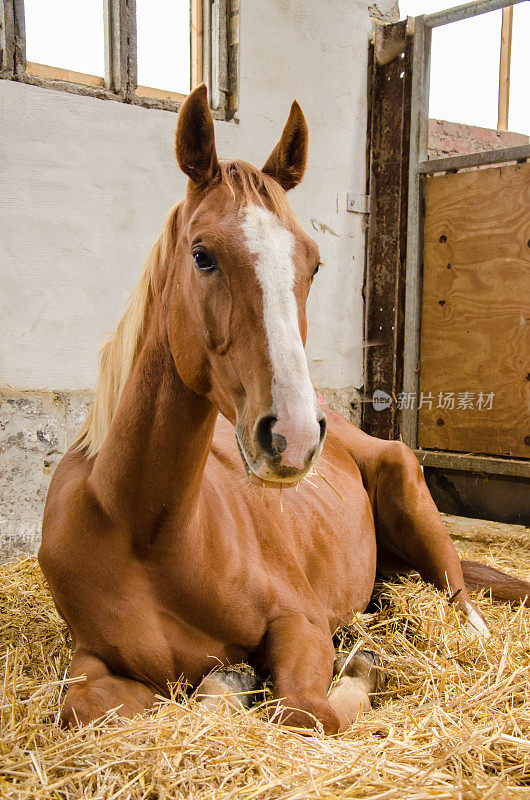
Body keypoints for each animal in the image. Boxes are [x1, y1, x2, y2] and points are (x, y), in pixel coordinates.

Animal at [40, 86, 528, 732]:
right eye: (202, 256)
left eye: (315, 264)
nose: (294, 435)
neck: (140, 530)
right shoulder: (91, 659)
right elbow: (86, 707)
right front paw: (230, 682)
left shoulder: (300, 620)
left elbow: (307, 708)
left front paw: (360, 666)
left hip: (413, 499)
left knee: (462, 603)